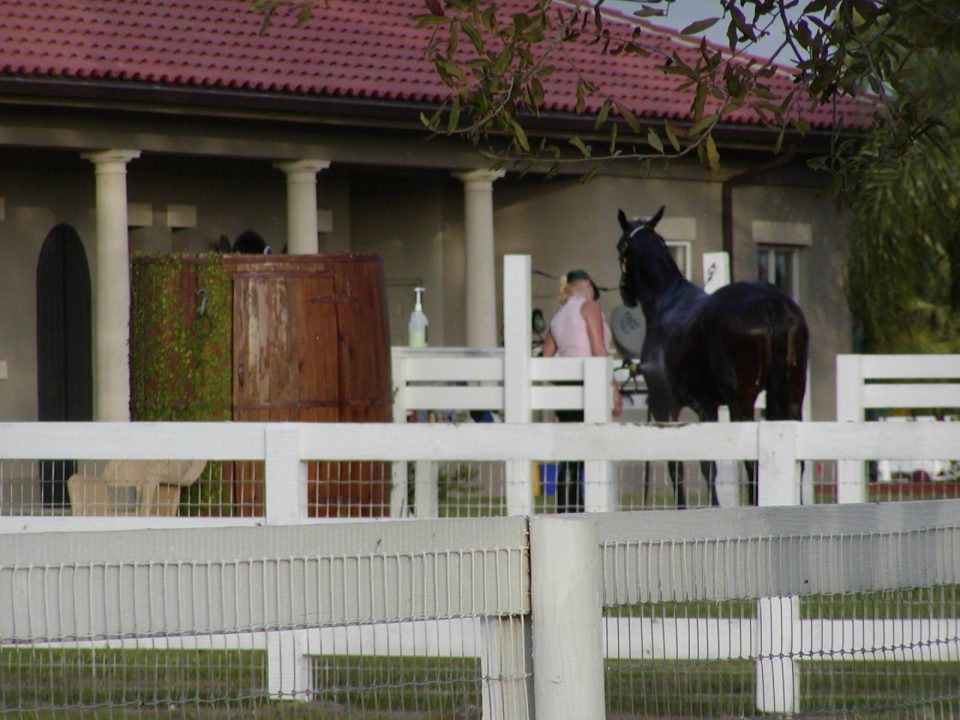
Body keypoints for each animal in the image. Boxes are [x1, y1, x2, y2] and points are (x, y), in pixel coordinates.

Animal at [616, 205, 808, 504]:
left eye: (620, 247)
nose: (624, 291)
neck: (667, 301)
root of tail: (773, 303)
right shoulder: (706, 406)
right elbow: (709, 466)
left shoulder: (664, 404)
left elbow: (678, 466)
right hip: (792, 397)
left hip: (742, 403)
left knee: (751, 465)